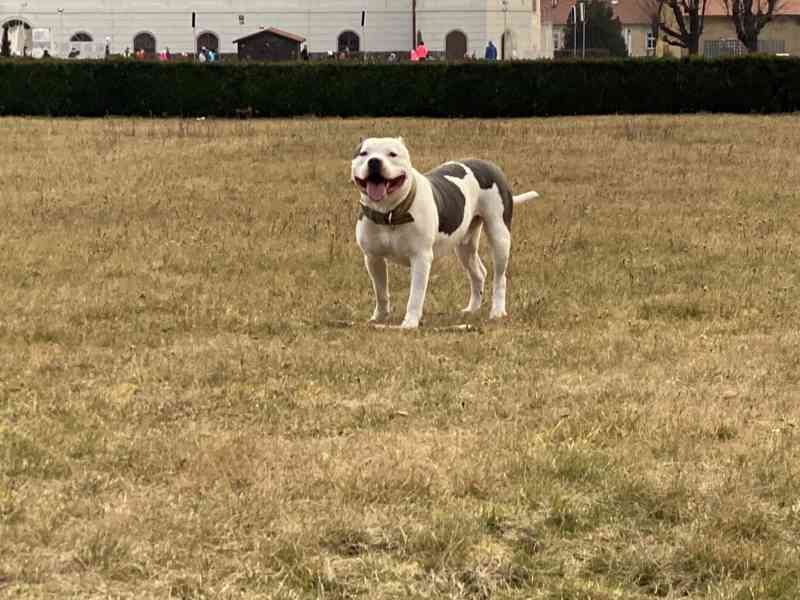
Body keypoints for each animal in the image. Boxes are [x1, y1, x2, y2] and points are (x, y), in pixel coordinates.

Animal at [350, 137, 536, 328]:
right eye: (363, 153)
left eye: (392, 154)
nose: (374, 161)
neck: (390, 213)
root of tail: (489, 164)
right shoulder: (373, 258)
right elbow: (380, 291)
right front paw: (379, 318)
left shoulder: (421, 258)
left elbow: (415, 295)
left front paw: (410, 323)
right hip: (464, 246)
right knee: (478, 273)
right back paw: (472, 309)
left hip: (499, 236)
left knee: (500, 277)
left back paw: (497, 311)